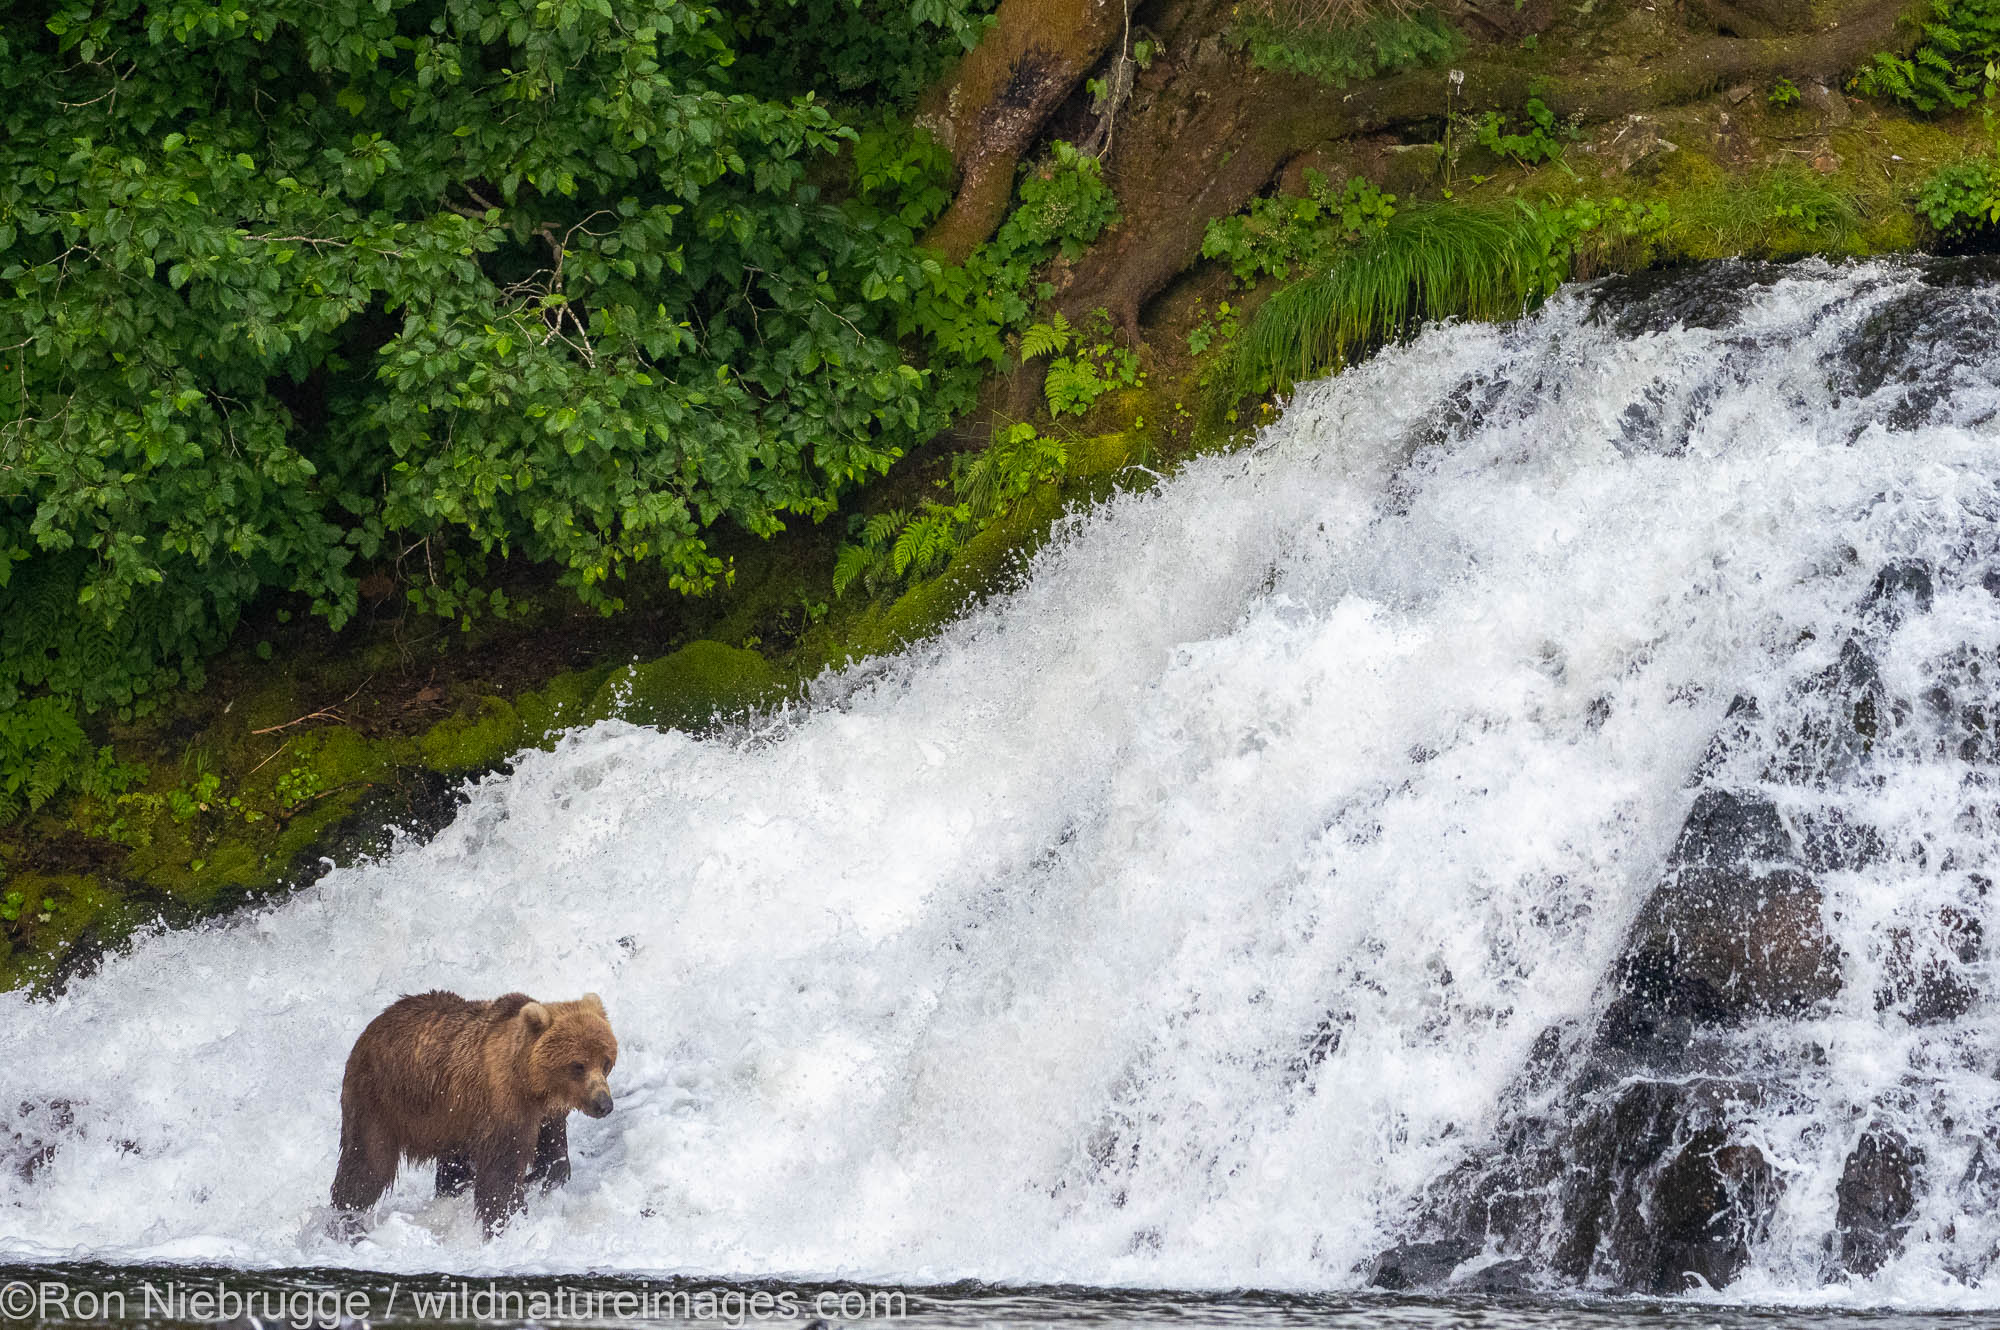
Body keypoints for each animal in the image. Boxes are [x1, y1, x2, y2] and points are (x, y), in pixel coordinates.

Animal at [332, 984, 612, 1232]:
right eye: (578, 1065)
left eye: (606, 1062)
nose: (604, 1104)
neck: (531, 1084)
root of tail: (375, 1022)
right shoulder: (503, 1107)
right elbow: (501, 1176)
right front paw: (507, 1221)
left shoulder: (547, 1116)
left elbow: (553, 1157)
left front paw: (539, 1180)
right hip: (381, 1099)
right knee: (367, 1164)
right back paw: (347, 1219)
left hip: (450, 1119)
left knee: (451, 1166)